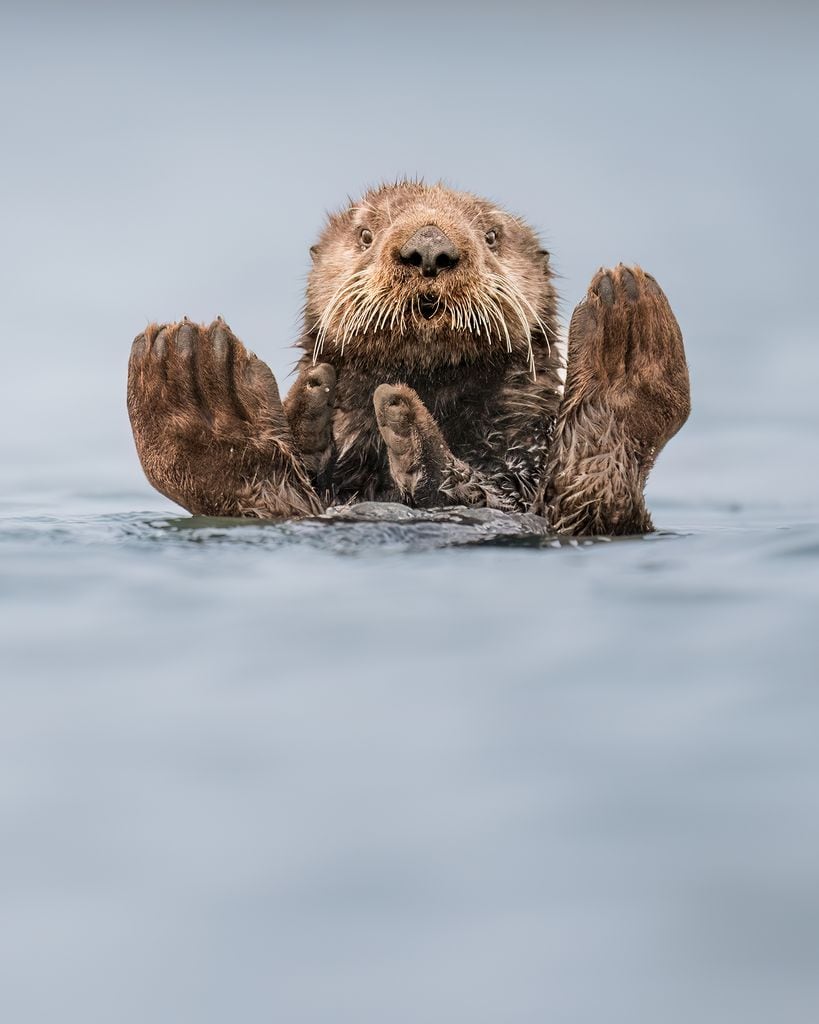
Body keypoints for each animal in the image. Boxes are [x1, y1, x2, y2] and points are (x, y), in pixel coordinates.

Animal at [127, 183, 692, 536]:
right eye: (365, 234)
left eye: (491, 236)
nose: (429, 247)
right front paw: (311, 406)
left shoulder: (523, 455)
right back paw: (199, 382)